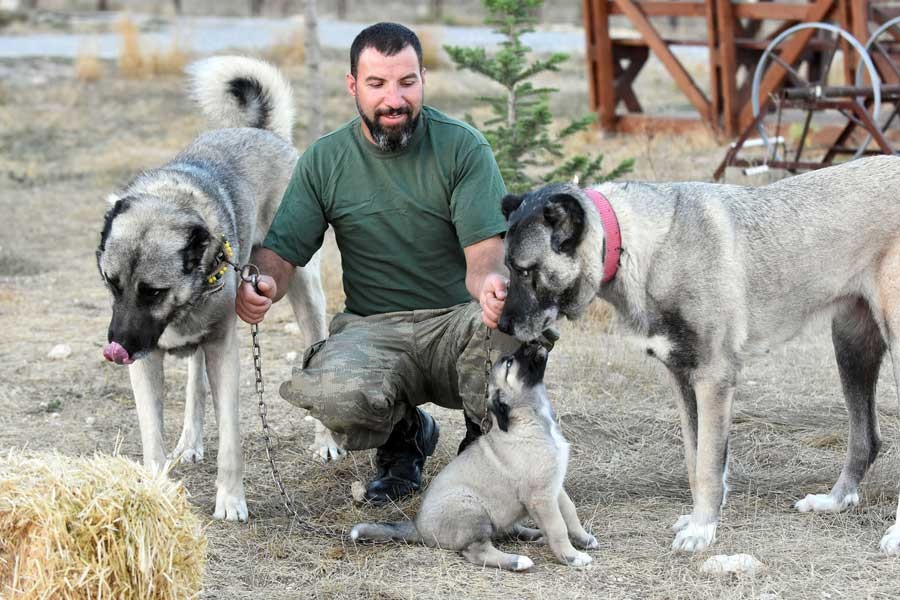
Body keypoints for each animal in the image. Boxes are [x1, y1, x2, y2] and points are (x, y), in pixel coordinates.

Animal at [95, 58, 336, 524]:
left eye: (153, 292)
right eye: (112, 284)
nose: (118, 349)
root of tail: (265, 133)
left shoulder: (225, 352)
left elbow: (231, 442)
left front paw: (230, 500)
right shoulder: (147, 365)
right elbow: (152, 439)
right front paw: (158, 492)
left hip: (305, 296)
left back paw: (327, 442)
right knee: (194, 382)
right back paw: (190, 441)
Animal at [352, 342, 596, 572]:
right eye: (510, 363)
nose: (533, 340)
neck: (532, 419)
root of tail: (418, 526)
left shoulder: (554, 486)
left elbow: (570, 512)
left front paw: (583, 539)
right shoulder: (541, 496)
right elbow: (558, 527)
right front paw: (572, 556)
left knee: (509, 531)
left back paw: (535, 534)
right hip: (472, 510)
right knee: (477, 551)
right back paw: (517, 561)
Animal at [502, 157, 900, 556]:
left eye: (525, 269)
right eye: (508, 267)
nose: (503, 324)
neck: (638, 244)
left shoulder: (713, 379)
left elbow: (709, 465)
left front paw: (702, 530)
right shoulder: (682, 379)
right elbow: (695, 461)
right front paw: (697, 519)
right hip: (850, 349)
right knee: (866, 438)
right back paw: (833, 501)